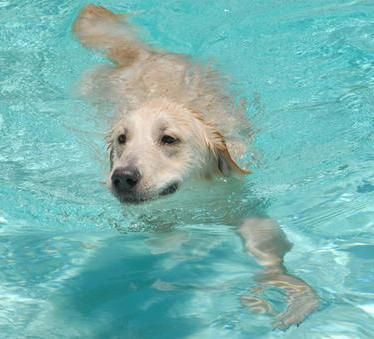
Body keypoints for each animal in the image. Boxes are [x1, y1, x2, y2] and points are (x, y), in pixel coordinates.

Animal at [73, 4, 318, 330]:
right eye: (122, 139)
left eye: (168, 139)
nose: (122, 177)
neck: (192, 197)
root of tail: (145, 54)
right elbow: (165, 239)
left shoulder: (240, 200)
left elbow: (265, 241)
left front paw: (284, 287)